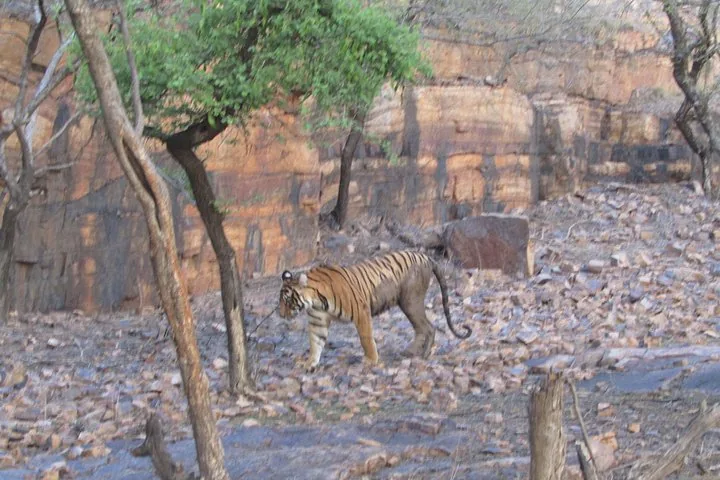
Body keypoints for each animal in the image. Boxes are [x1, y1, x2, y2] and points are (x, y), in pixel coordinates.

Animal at [278, 250, 472, 371]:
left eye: (287, 301)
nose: (281, 315)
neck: (316, 300)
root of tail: (424, 256)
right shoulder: (317, 320)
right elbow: (315, 343)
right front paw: (310, 363)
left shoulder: (361, 312)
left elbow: (366, 339)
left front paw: (371, 360)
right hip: (408, 304)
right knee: (421, 328)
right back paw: (410, 352)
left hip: (410, 301)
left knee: (429, 327)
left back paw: (423, 355)